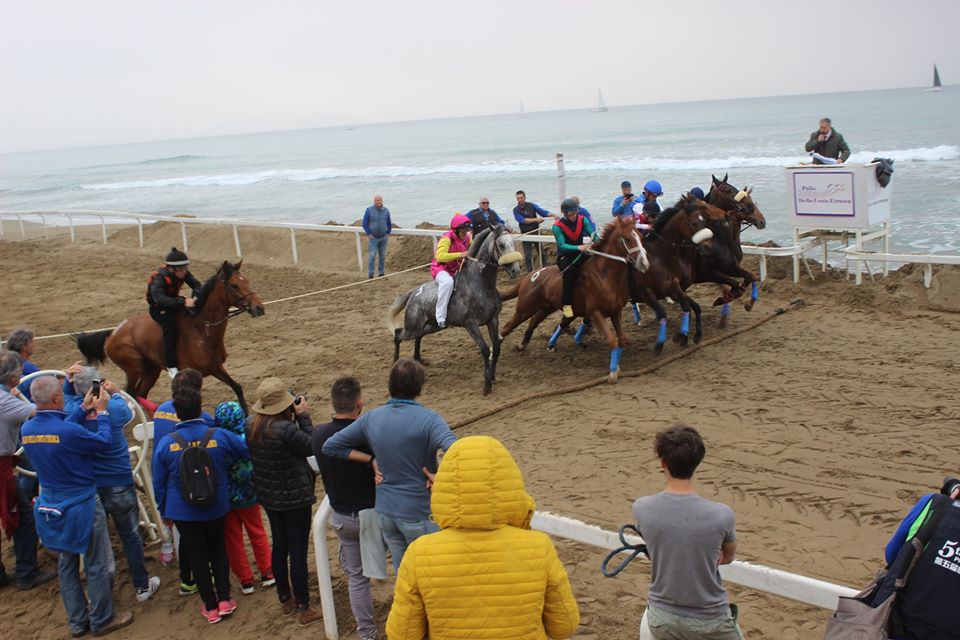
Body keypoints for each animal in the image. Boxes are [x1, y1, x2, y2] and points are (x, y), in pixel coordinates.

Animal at [75, 260, 264, 410]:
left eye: (246, 281)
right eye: (234, 285)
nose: (259, 308)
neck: (202, 330)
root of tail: (113, 332)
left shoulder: (215, 367)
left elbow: (237, 387)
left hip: (152, 370)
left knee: (141, 393)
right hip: (134, 368)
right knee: (132, 393)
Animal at [388, 224, 524, 396]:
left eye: (512, 242)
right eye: (501, 245)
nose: (515, 270)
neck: (481, 283)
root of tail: (414, 293)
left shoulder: (493, 320)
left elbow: (497, 348)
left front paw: (492, 376)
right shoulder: (471, 324)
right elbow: (485, 350)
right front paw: (486, 385)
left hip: (431, 326)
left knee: (419, 336)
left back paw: (419, 359)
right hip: (412, 327)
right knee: (398, 334)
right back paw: (395, 363)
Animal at [498, 215, 648, 380]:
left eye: (640, 237)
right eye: (628, 239)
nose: (644, 263)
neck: (604, 275)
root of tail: (528, 277)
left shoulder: (615, 311)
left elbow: (621, 339)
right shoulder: (595, 312)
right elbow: (612, 340)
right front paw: (613, 371)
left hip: (546, 307)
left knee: (533, 321)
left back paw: (524, 344)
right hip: (525, 308)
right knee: (507, 327)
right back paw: (494, 351)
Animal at [632, 198, 720, 352]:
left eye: (704, 221)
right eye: (693, 223)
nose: (708, 247)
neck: (659, 257)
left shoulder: (676, 288)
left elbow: (693, 307)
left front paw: (692, 335)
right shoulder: (650, 291)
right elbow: (684, 309)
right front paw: (680, 336)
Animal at [700, 174, 768, 324]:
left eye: (752, 201)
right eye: (727, 190)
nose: (762, 221)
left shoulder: (731, 267)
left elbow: (748, 278)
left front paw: (748, 304)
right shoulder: (716, 270)